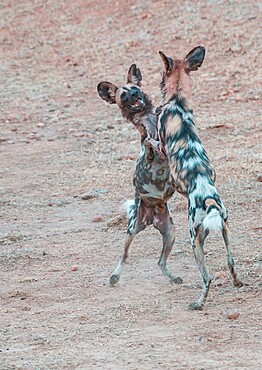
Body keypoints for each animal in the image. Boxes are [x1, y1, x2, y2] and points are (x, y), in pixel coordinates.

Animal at [96, 66, 182, 286]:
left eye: (135, 89)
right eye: (123, 96)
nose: (135, 95)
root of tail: (151, 218)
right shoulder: (148, 142)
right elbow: (149, 142)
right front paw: (154, 148)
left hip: (170, 233)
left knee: (160, 262)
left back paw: (173, 277)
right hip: (131, 230)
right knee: (124, 256)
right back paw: (114, 276)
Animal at [156, 44, 244, 308]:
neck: (177, 102)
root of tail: (210, 200)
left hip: (194, 238)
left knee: (207, 277)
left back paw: (198, 303)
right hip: (225, 229)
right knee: (231, 262)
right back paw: (237, 283)